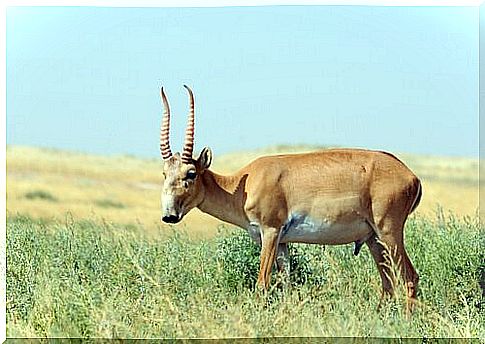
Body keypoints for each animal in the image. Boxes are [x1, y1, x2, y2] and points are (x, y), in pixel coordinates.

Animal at [158, 86, 420, 312]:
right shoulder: (283, 243)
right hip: (373, 239)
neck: (244, 184)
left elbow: (262, 283)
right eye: (164, 173)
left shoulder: (270, 232)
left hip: (389, 232)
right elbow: (286, 284)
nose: (169, 215)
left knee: (409, 276)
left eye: (191, 173)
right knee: (388, 283)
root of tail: (411, 175)